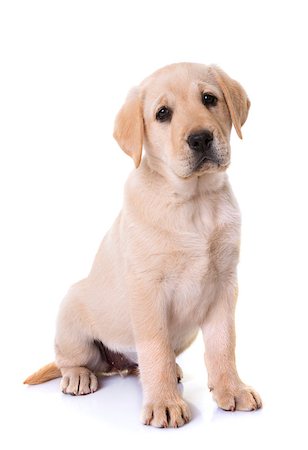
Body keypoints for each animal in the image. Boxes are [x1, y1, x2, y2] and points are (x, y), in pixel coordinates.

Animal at [25, 62, 264, 426]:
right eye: (162, 113)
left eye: (209, 99)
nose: (200, 138)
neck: (194, 201)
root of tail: (115, 365)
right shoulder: (148, 289)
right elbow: (155, 349)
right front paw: (164, 402)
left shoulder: (225, 284)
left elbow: (223, 344)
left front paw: (231, 389)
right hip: (72, 319)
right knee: (71, 359)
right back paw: (78, 376)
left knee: (144, 363)